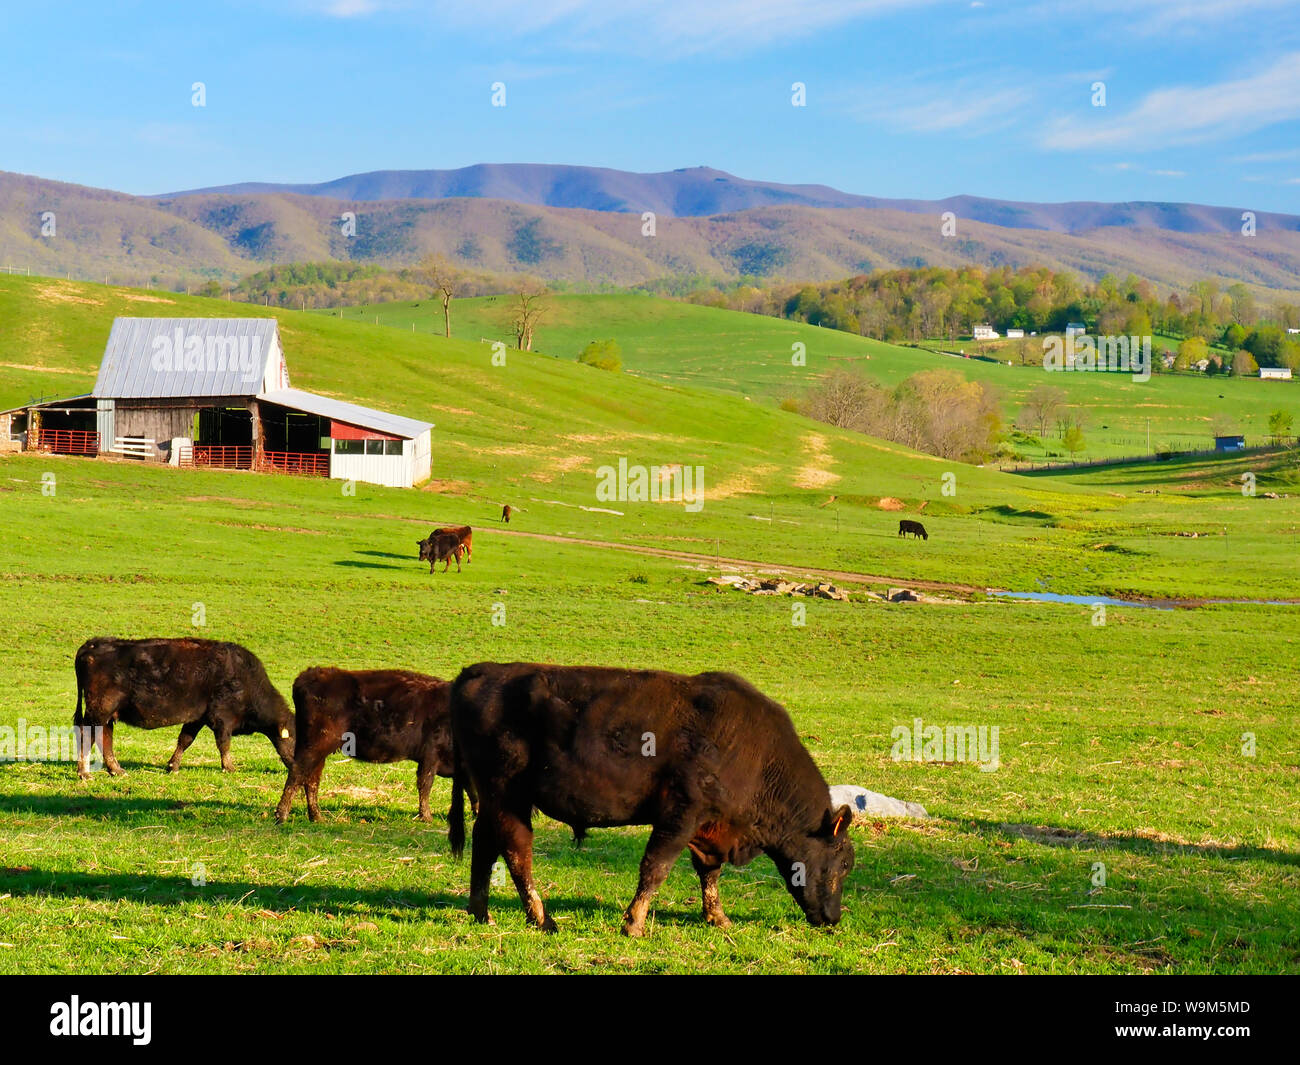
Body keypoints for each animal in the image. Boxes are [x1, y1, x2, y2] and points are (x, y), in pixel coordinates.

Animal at [73, 637, 295, 780]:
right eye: (295, 737)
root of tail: (93, 643)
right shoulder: (222, 719)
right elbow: (224, 744)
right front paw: (229, 767)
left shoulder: (197, 718)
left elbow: (185, 740)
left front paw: (173, 766)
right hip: (98, 711)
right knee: (87, 736)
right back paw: (84, 773)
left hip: (107, 715)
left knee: (104, 738)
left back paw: (116, 770)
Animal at [275, 670, 478, 827]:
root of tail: (311, 674)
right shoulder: (430, 757)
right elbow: (425, 785)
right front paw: (426, 817)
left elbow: (470, 787)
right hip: (314, 747)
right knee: (298, 773)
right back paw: (282, 816)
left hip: (318, 751)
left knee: (311, 779)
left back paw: (317, 817)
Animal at [452, 663, 857, 936]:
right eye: (844, 864)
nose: (834, 918)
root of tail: (481, 670)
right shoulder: (681, 815)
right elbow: (656, 867)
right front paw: (634, 923)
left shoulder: (709, 827)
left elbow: (709, 873)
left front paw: (718, 917)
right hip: (509, 797)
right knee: (517, 852)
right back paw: (541, 918)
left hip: (493, 800)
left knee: (485, 846)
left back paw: (481, 911)